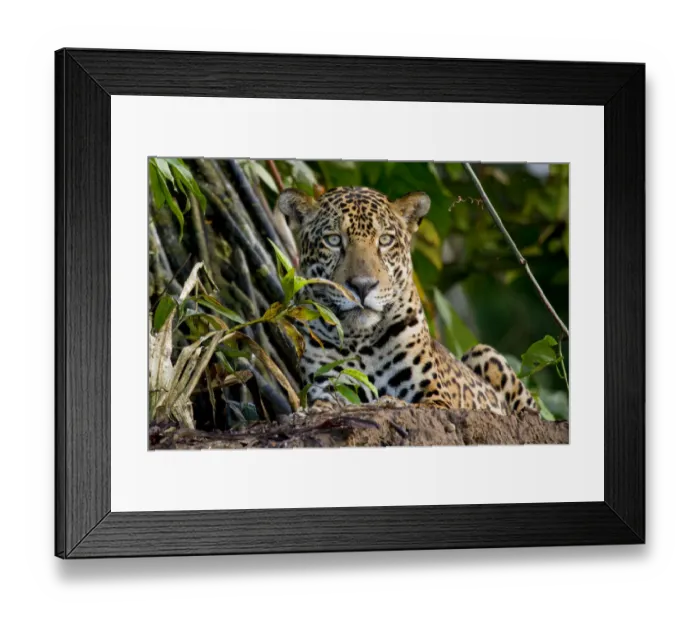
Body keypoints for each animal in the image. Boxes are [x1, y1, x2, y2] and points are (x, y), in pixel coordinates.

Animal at [277, 185, 539, 416]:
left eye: (384, 240)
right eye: (333, 240)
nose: (363, 285)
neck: (359, 340)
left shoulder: (435, 396)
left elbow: (407, 403)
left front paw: (388, 403)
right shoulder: (327, 384)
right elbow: (327, 403)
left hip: (484, 352)